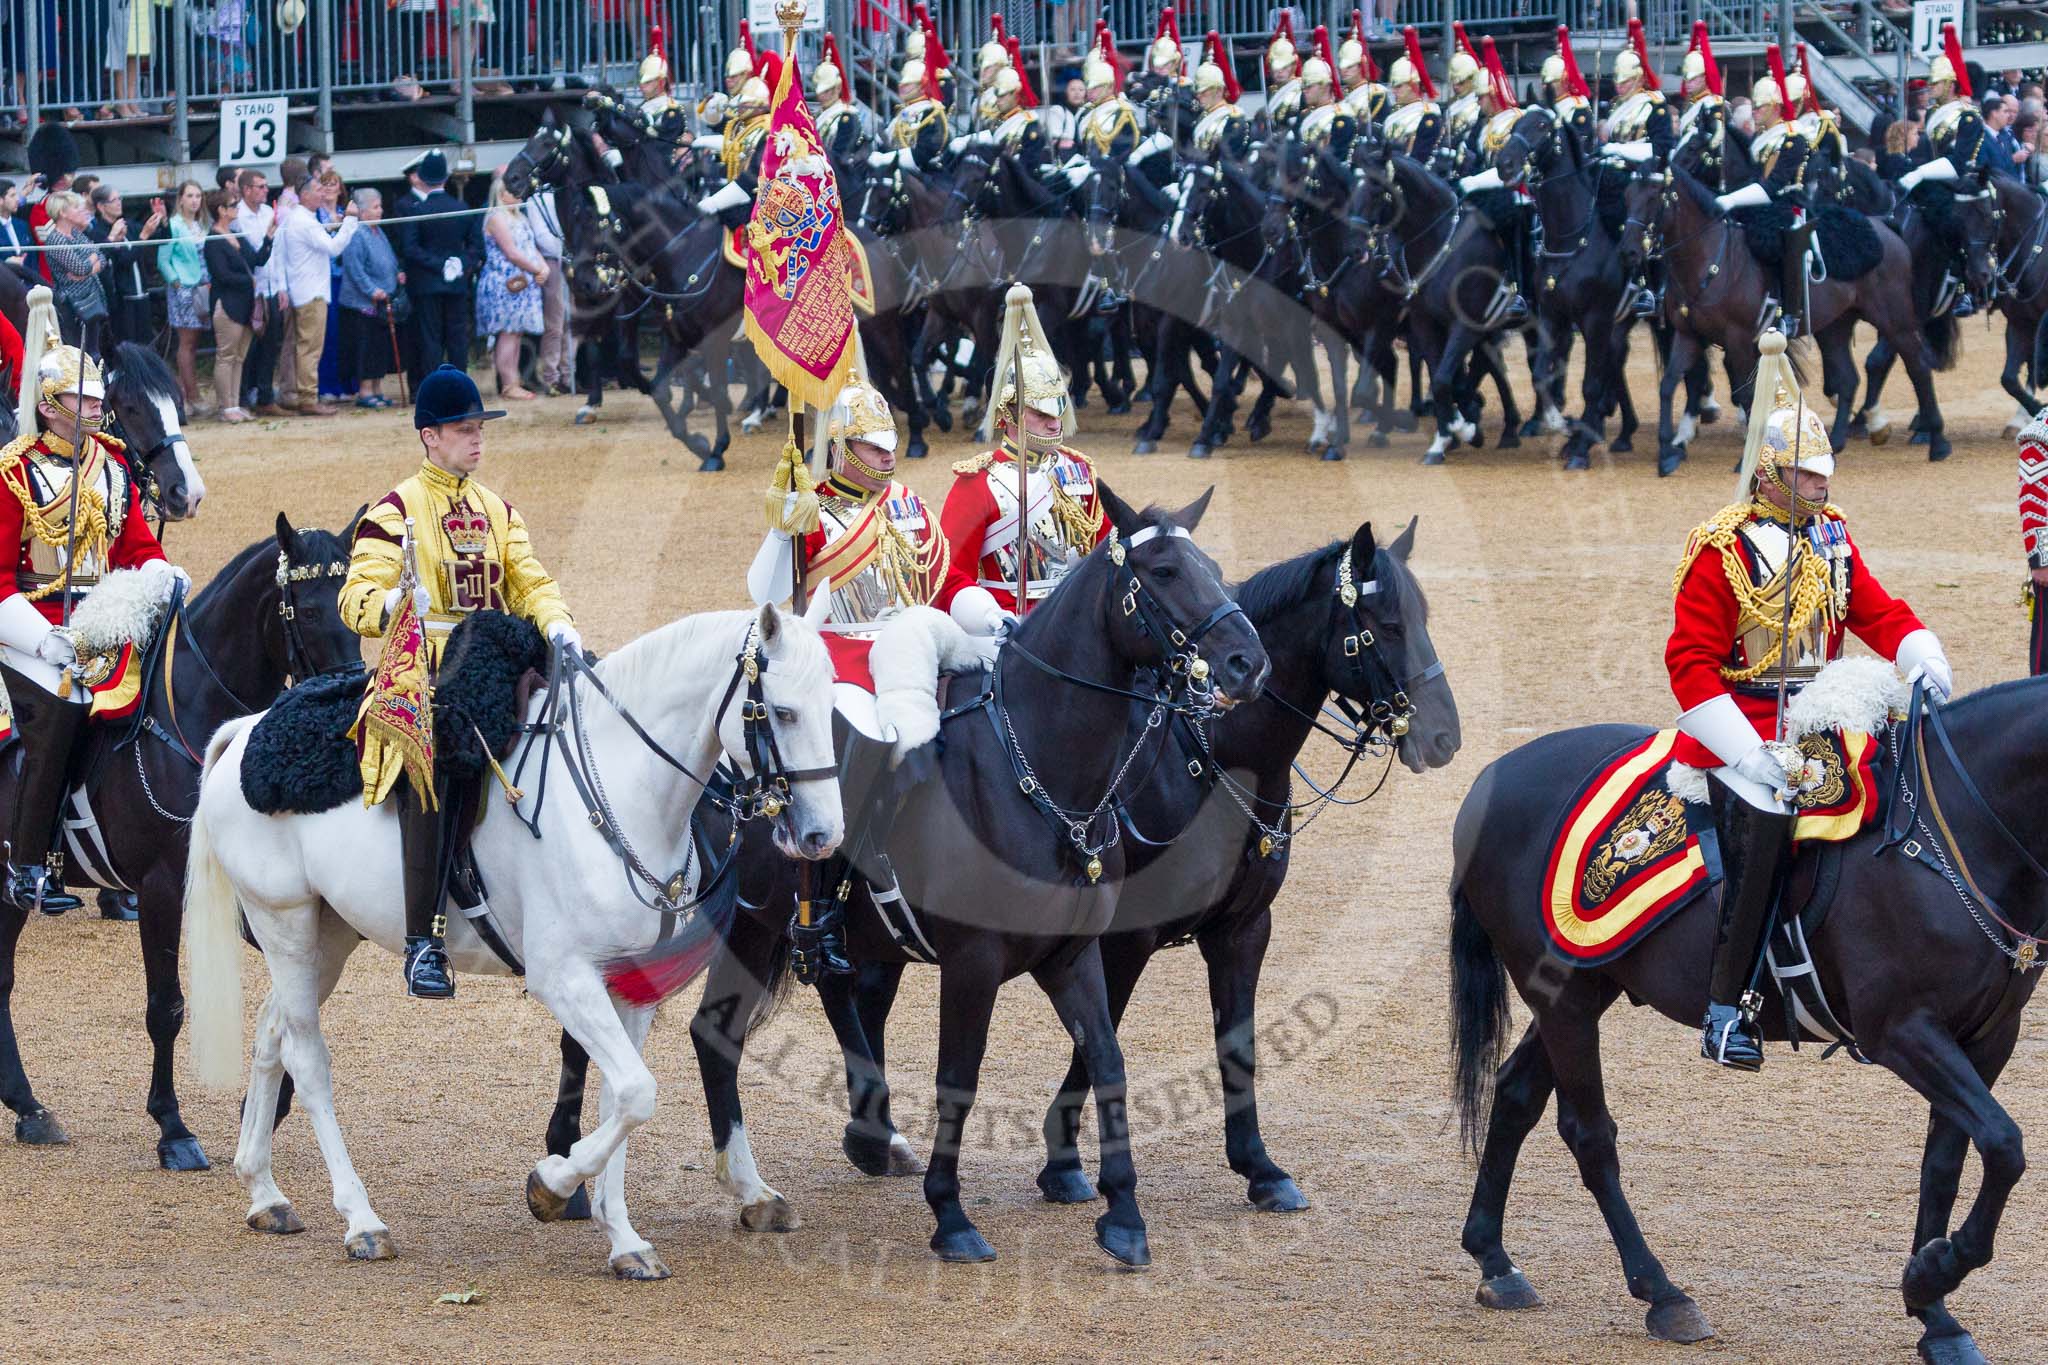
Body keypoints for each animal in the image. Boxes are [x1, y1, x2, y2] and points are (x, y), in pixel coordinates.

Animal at [0, 517, 360, 1170]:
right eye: (308, 609)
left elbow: (298, 996)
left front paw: (264, 1108)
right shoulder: (161, 887)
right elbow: (165, 1007)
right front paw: (172, 1127)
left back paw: (28, 1108)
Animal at [184, 605, 839, 1285]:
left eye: (832, 707)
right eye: (782, 712)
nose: (822, 834)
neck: (620, 789)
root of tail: (246, 730)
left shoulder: (630, 986)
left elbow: (623, 1098)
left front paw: (623, 1237)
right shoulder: (564, 977)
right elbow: (636, 1092)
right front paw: (551, 1186)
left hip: (328, 935)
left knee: (272, 1033)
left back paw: (264, 1192)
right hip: (283, 921)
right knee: (308, 1061)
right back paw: (361, 1221)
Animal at [1458, 683, 2048, 1365]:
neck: (1958, 833)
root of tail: (1493, 778)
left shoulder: (1986, 1039)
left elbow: (1947, 1164)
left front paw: (1935, 1314)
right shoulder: (1904, 1032)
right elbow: (2005, 1146)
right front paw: (1933, 1275)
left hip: (1582, 990)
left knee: (1514, 1095)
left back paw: (1494, 1260)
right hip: (1566, 1002)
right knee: (1589, 1134)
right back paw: (1662, 1293)